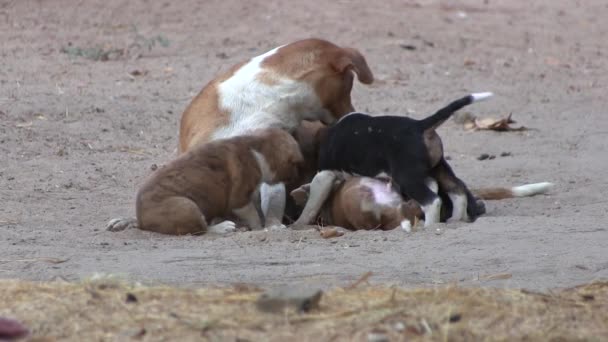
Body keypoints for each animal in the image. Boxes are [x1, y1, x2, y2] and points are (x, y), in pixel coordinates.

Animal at [134, 128, 302, 235]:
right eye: (295, 165)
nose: (295, 177)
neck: (257, 148)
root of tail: (140, 220)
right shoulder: (239, 199)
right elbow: (252, 214)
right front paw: (260, 228)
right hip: (187, 206)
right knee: (201, 229)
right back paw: (223, 227)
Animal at [296, 93, 494, 227]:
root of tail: (420, 125)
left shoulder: (324, 175)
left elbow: (312, 204)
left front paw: (299, 223)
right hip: (438, 169)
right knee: (458, 190)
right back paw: (456, 220)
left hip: (407, 177)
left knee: (432, 201)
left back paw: (430, 226)